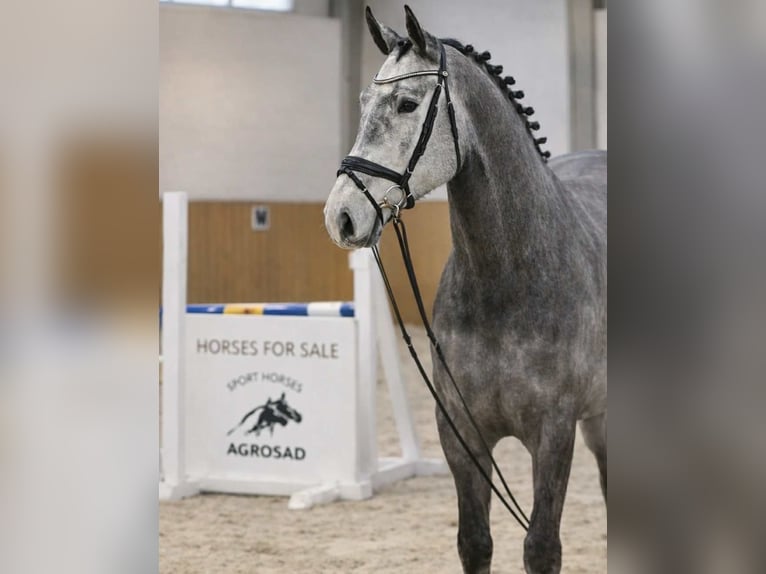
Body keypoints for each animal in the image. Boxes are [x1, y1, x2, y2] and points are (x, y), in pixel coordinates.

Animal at [324, 6, 606, 574]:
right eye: (363, 102)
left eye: (408, 103)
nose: (341, 215)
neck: (509, 280)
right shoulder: (459, 432)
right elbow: (475, 541)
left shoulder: (554, 432)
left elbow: (542, 547)